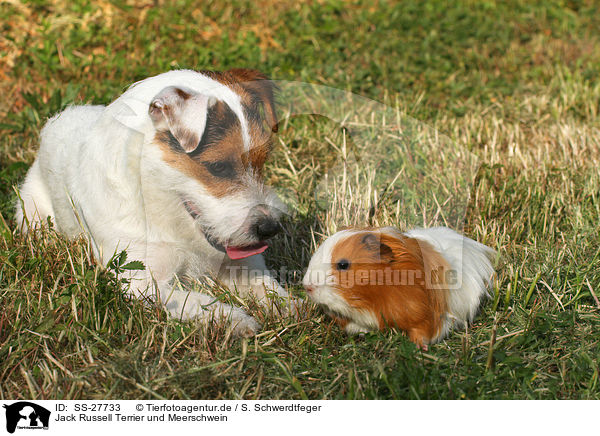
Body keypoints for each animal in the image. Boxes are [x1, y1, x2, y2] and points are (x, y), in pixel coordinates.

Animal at [15, 70, 292, 338]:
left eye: (263, 160)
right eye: (218, 166)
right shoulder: (138, 281)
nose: (269, 228)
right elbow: (195, 302)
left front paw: (291, 306)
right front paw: (236, 319)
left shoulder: (243, 261)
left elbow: (265, 284)